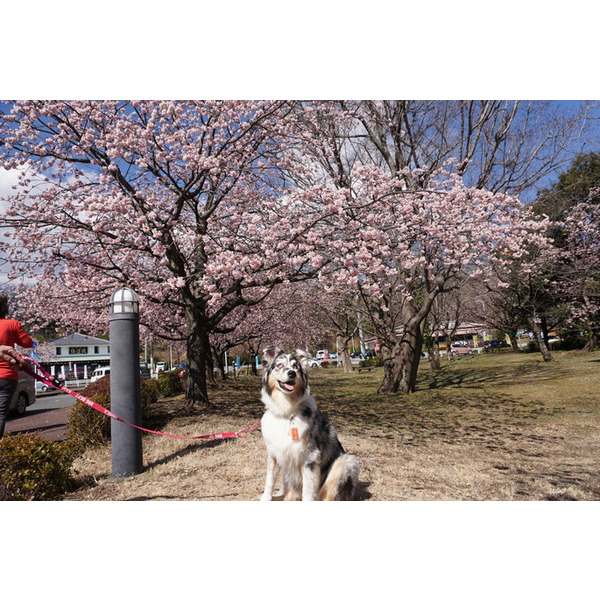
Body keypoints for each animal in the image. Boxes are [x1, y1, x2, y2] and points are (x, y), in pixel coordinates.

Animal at [258, 346, 360, 502]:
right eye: (279, 365)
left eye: (295, 367)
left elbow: (308, 488)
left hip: (345, 461)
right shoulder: (274, 454)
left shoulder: (310, 457)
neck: (287, 412)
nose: (292, 373)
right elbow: (269, 480)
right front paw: (265, 498)